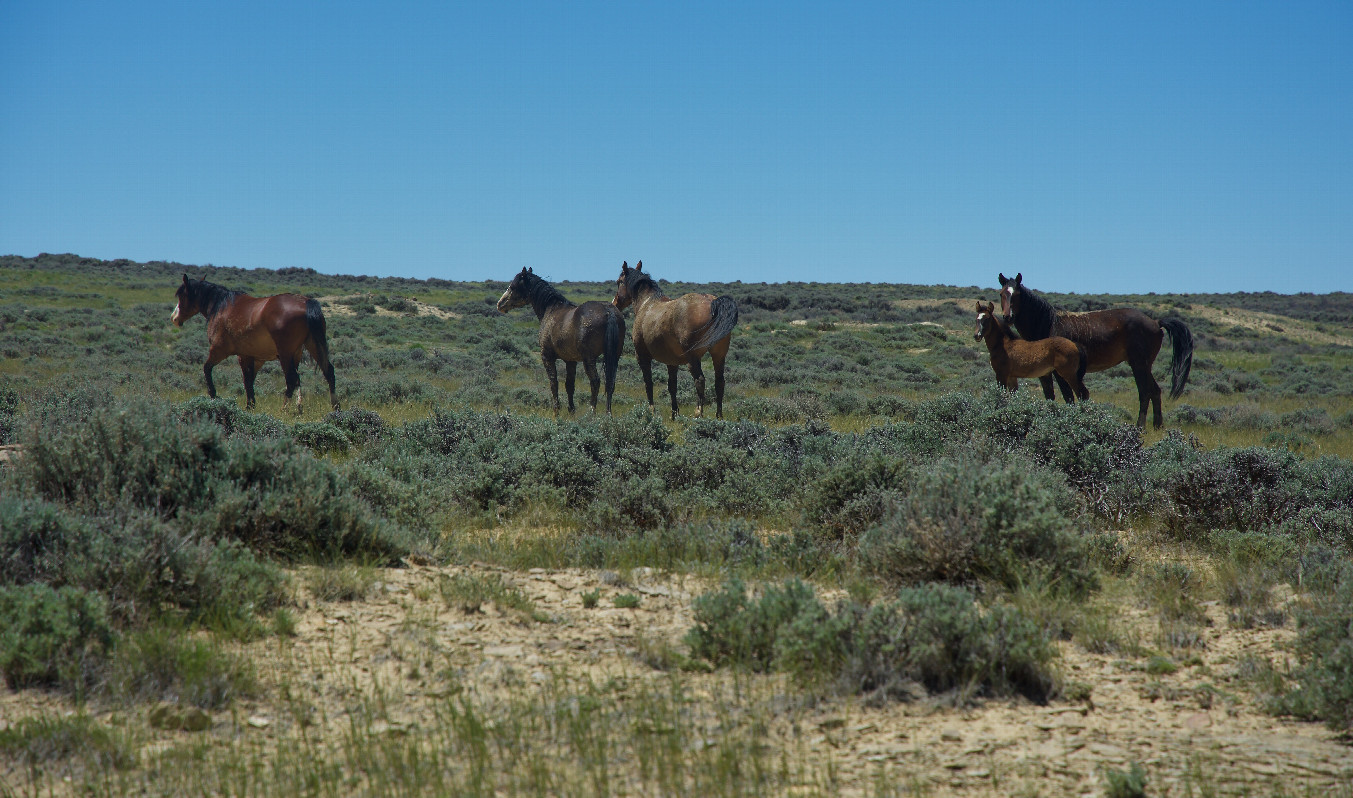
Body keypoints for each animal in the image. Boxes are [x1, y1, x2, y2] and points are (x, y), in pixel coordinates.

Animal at [169, 275, 338, 416]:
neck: (221, 307)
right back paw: (334, 407)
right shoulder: (252, 357)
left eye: (182, 295)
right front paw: (250, 405)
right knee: (327, 372)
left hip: (286, 354)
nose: (174, 318)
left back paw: (284, 409)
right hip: (309, 347)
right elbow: (249, 381)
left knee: (291, 379)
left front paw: (213, 395)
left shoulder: (220, 351)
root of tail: (307, 302)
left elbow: (208, 369)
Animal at [495, 269, 625, 419]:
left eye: (513, 286)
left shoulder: (547, 357)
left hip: (589, 359)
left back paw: (591, 412)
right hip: (614, 357)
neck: (551, 309)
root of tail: (608, 311)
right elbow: (569, 385)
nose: (500, 304)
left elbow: (554, 382)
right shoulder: (571, 361)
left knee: (595, 381)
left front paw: (556, 411)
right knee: (610, 383)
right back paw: (608, 414)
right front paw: (571, 410)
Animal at [614, 263, 741, 424]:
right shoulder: (672, 362)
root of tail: (712, 303)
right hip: (719, 355)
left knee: (700, 380)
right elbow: (672, 386)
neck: (647, 304)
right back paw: (719, 416)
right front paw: (674, 413)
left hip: (693, 358)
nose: (615, 303)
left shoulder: (642, 357)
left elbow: (648, 383)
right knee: (720, 382)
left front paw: (651, 411)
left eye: (619, 282)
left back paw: (698, 413)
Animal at [995, 271, 1196, 427]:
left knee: (1145, 392)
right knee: (1155, 391)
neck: (1048, 324)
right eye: (1002, 294)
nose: (1007, 317)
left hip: (1139, 365)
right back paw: (1157, 426)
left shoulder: (1061, 373)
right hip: (1144, 366)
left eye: (1017, 294)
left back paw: (1140, 427)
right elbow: (1050, 396)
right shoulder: (1046, 373)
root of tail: (1156, 322)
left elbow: (1068, 397)